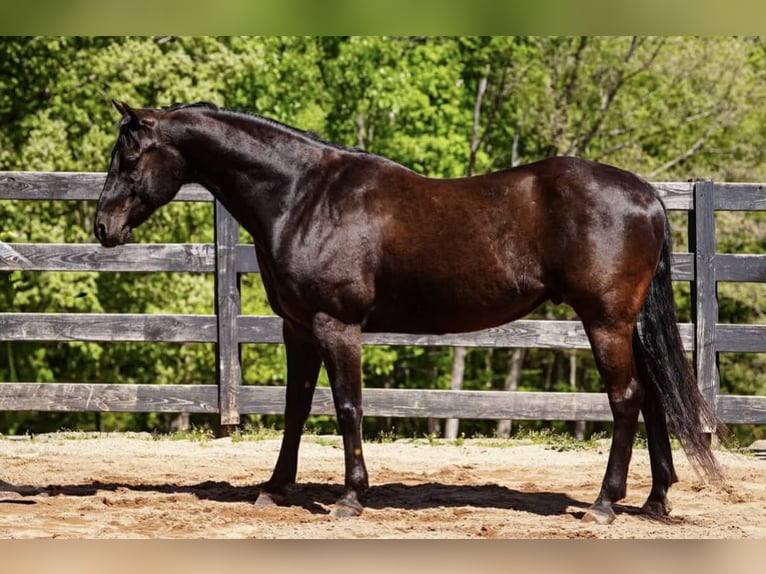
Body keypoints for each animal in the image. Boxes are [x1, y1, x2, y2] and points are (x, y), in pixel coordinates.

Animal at [94, 100, 724, 524]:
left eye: (130, 157)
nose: (102, 227)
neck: (303, 195)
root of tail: (647, 196)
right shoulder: (297, 328)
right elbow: (296, 408)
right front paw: (275, 488)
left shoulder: (336, 326)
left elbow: (347, 407)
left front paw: (350, 497)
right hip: (628, 325)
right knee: (654, 398)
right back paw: (655, 500)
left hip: (605, 321)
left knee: (627, 400)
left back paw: (604, 504)